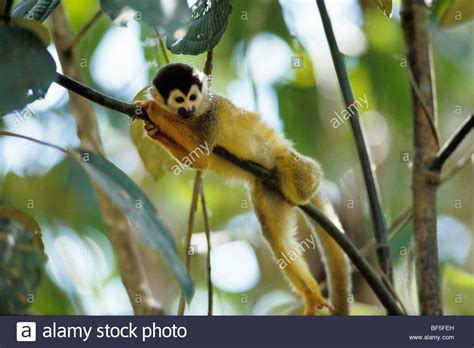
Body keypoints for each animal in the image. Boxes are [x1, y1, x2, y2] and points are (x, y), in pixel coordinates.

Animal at [139, 62, 350, 316]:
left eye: (192, 97)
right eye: (179, 100)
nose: (188, 108)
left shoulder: (213, 111)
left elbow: (200, 150)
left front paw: (153, 111)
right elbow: (199, 161)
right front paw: (154, 130)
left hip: (296, 166)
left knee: (291, 168)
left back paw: (299, 193)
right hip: (265, 190)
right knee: (276, 237)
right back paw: (311, 293)